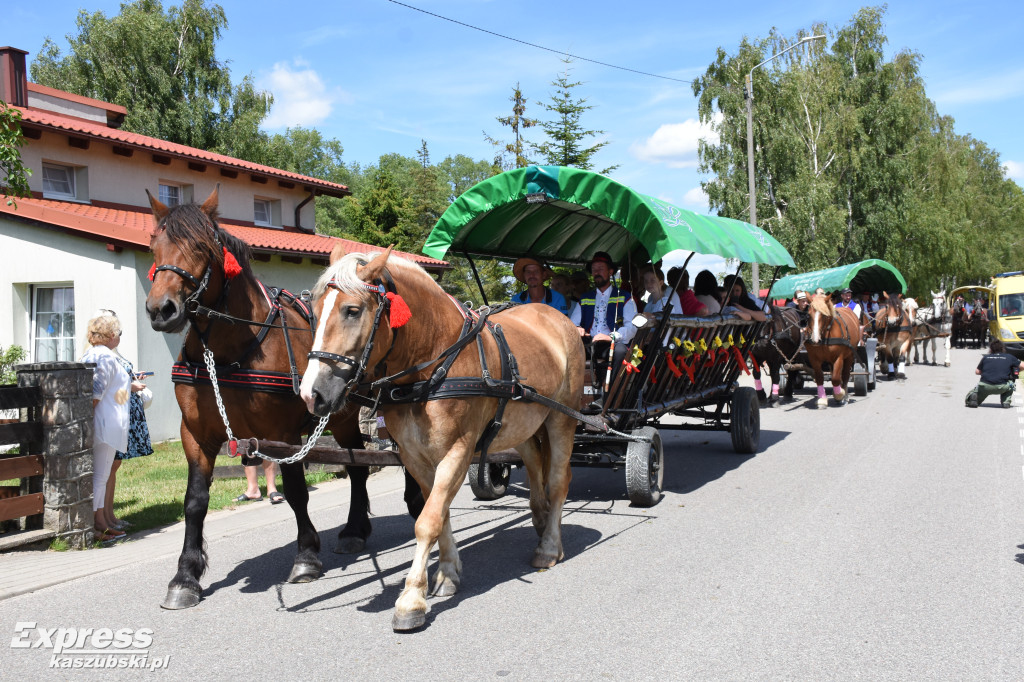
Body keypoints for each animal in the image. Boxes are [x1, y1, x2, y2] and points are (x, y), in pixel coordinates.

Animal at [144, 186, 419, 606]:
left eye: (202, 247)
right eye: (154, 245)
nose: (162, 309)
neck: (231, 352)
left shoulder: (283, 434)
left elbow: (296, 493)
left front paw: (305, 556)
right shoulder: (195, 435)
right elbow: (194, 502)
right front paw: (185, 575)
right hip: (341, 418)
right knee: (357, 465)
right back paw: (355, 529)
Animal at [299, 242, 585, 626]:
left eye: (352, 310)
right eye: (314, 312)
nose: (311, 394)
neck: (434, 364)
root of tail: (555, 316)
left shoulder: (458, 451)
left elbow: (427, 520)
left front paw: (411, 600)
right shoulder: (415, 456)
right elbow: (440, 511)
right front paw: (447, 574)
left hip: (561, 419)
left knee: (557, 481)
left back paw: (550, 547)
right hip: (524, 423)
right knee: (536, 467)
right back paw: (539, 522)